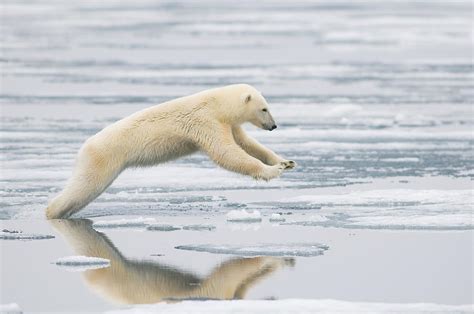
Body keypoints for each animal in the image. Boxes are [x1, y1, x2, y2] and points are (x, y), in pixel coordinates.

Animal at [46, 84, 294, 220]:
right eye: (264, 108)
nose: (274, 126)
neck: (216, 104)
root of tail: (83, 147)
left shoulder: (227, 124)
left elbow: (247, 143)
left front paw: (285, 161)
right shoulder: (205, 121)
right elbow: (226, 153)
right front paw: (273, 171)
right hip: (103, 158)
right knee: (83, 187)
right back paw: (51, 212)